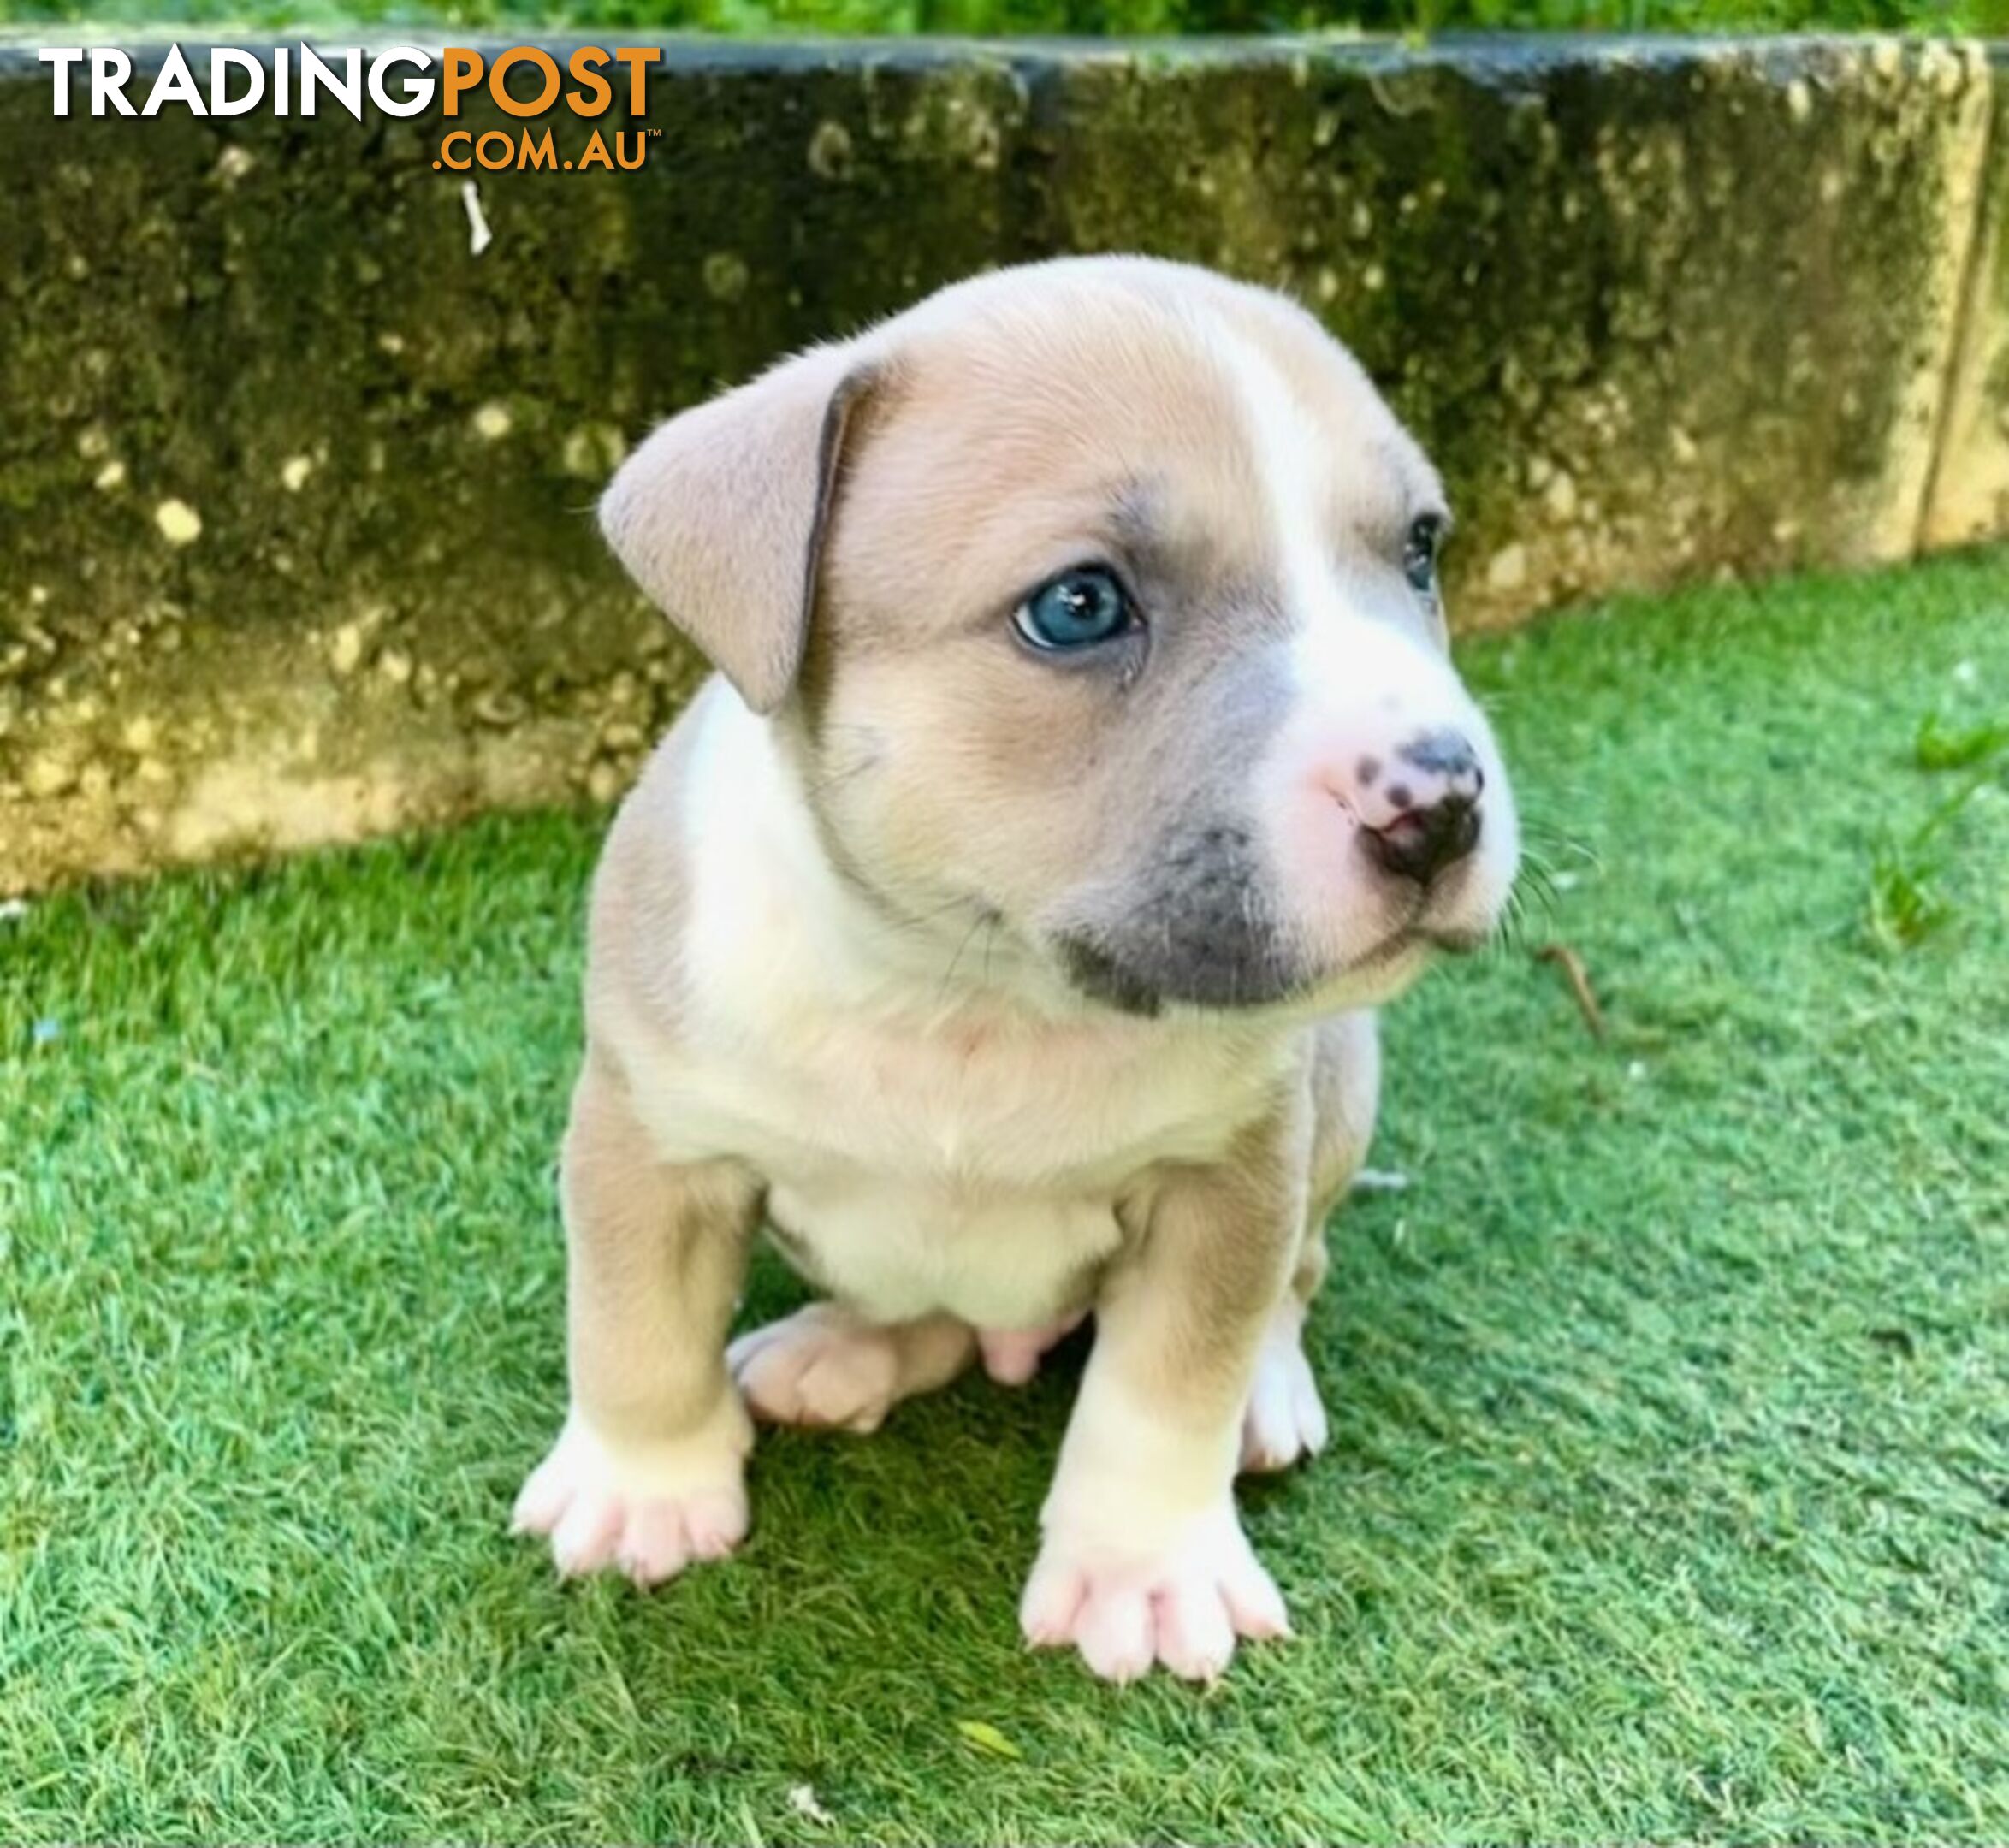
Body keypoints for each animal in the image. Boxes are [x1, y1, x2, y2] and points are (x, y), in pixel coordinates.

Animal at [510, 258, 1510, 1687]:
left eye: (1420, 550)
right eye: (1078, 606)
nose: (1439, 803)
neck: (971, 991)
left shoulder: (1229, 1181)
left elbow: (1167, 1387)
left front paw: (1146, 1572)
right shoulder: (650, 1140)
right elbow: (632, 1322)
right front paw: (640, 1489)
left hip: (1339, 1093)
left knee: (1299, 1277)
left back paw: (1266, 1390)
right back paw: (844, 1354)